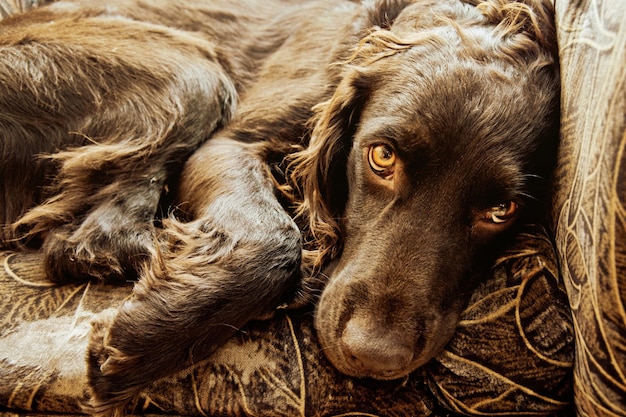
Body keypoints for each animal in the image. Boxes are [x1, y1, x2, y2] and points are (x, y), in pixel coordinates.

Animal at [0, 0, 556, 412]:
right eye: (381, 157)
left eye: (502, 210)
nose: (373, 355)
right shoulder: (229, 143)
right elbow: (272, 237)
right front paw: (140, 342)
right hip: (192, 69)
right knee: (84, 245)